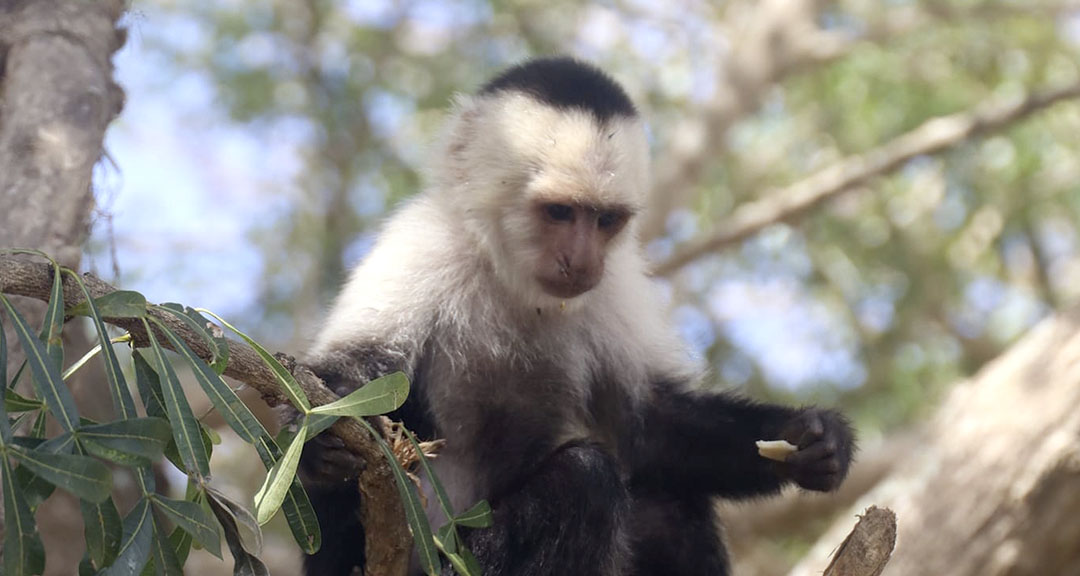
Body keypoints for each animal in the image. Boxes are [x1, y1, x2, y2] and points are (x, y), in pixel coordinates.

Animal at [295, 57, 851, 574]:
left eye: (605, 220)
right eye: (559, 212)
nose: (582, 262)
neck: (516, 284)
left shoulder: (617, 281)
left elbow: (650, 426)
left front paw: (814, 438)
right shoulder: (422, 243)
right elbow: (358, 372)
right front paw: (321, 442)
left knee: (666, 502)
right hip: (449, 558)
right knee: (588, 479)